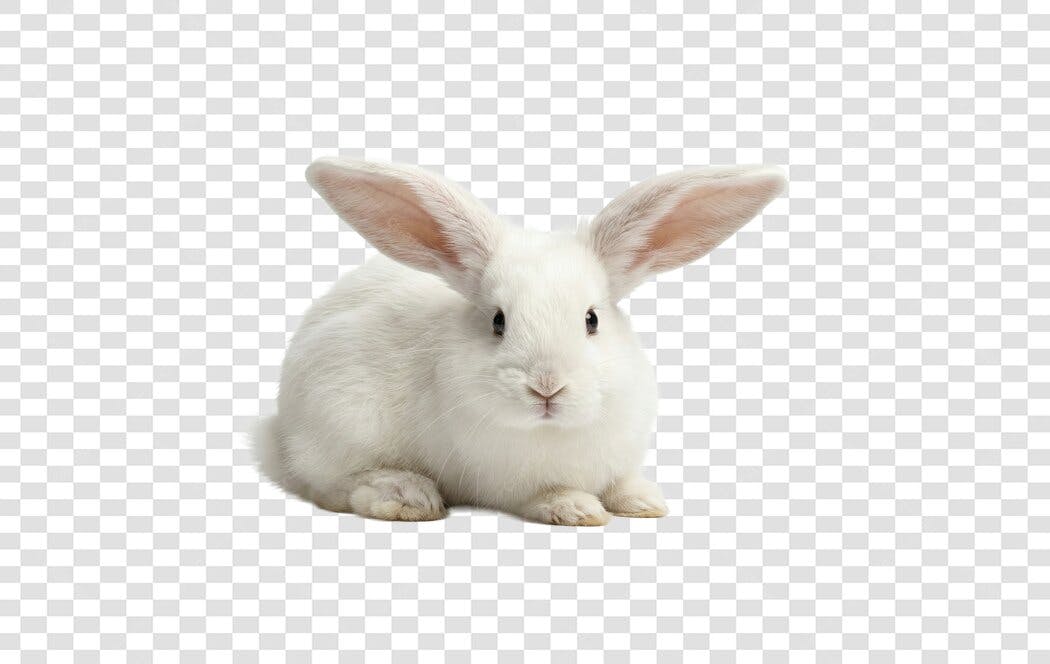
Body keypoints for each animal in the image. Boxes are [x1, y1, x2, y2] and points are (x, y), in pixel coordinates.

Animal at [253, 158, 786, 525]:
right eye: (498, 321)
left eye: (591, 319)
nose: (546, 386)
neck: (554, 432)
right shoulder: (507, 482)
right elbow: (545, 495)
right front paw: (577, 509)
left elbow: (622, 485)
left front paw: (643, 501)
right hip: (339, 421)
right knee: (329, 485)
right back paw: (405, 496)